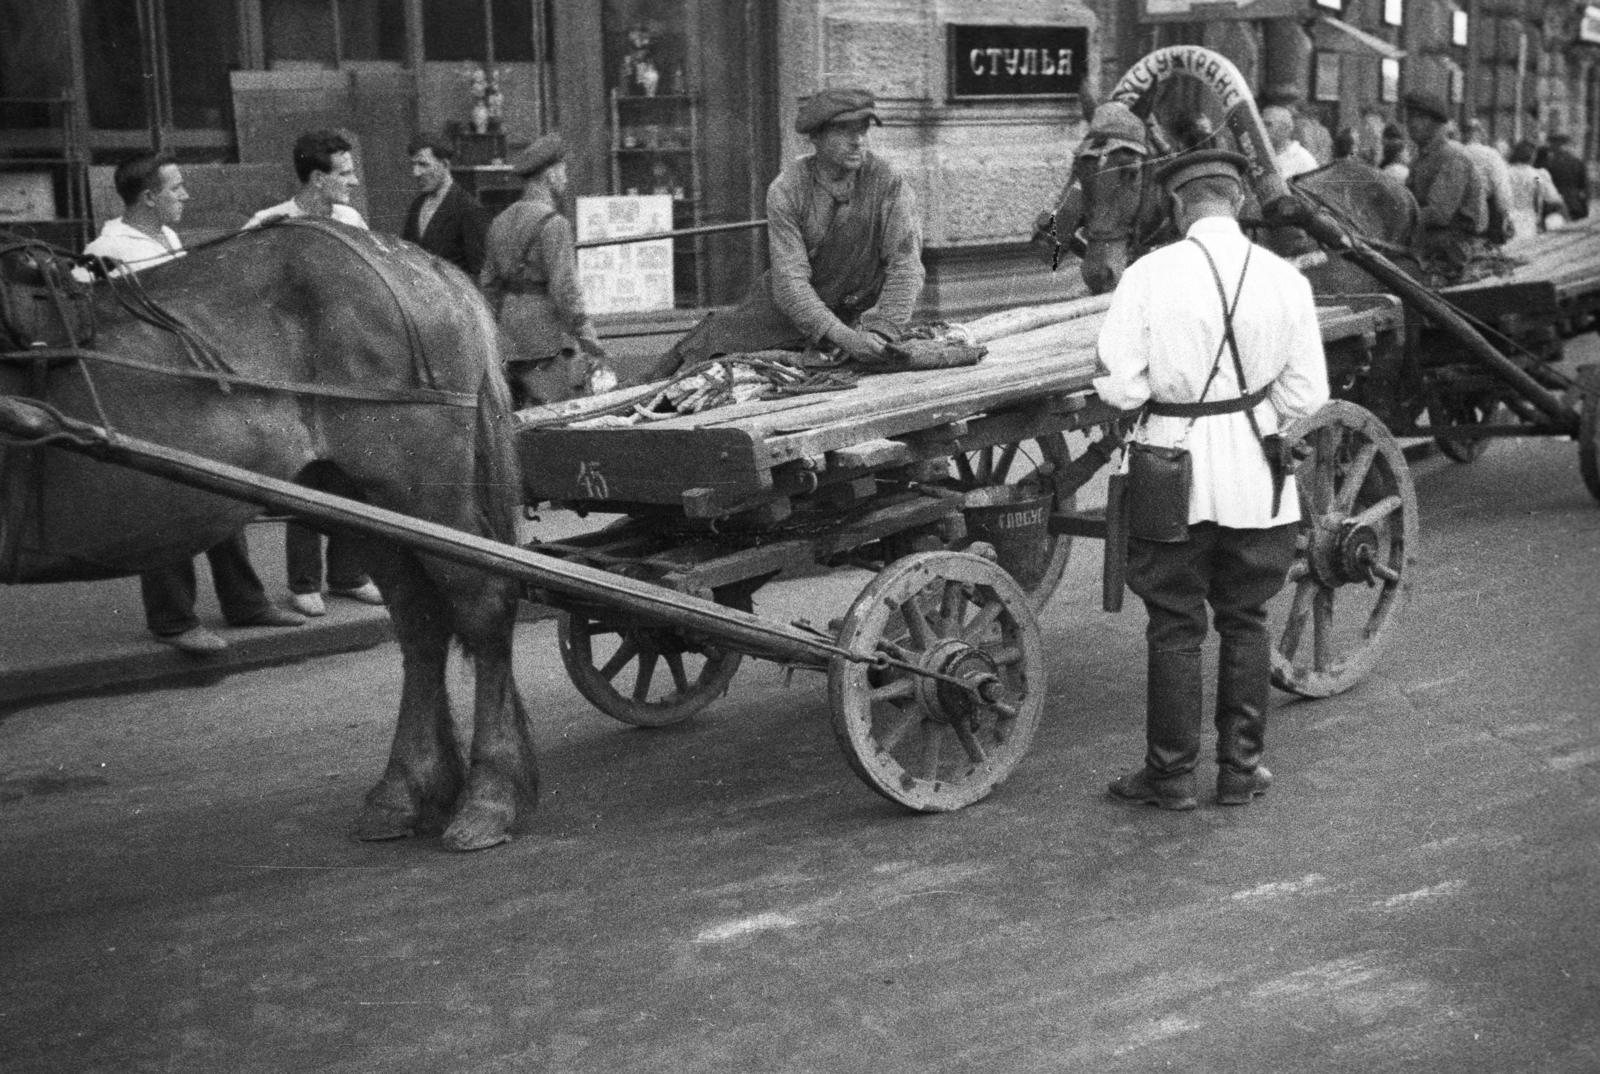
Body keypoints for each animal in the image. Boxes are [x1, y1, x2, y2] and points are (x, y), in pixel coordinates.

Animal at [0, 222, 537, 851]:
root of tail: (420, 262)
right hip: (361, 500)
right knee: (420, 622)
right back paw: (403, 790)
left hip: (424, 490)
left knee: (483, 606)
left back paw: (491, 795)